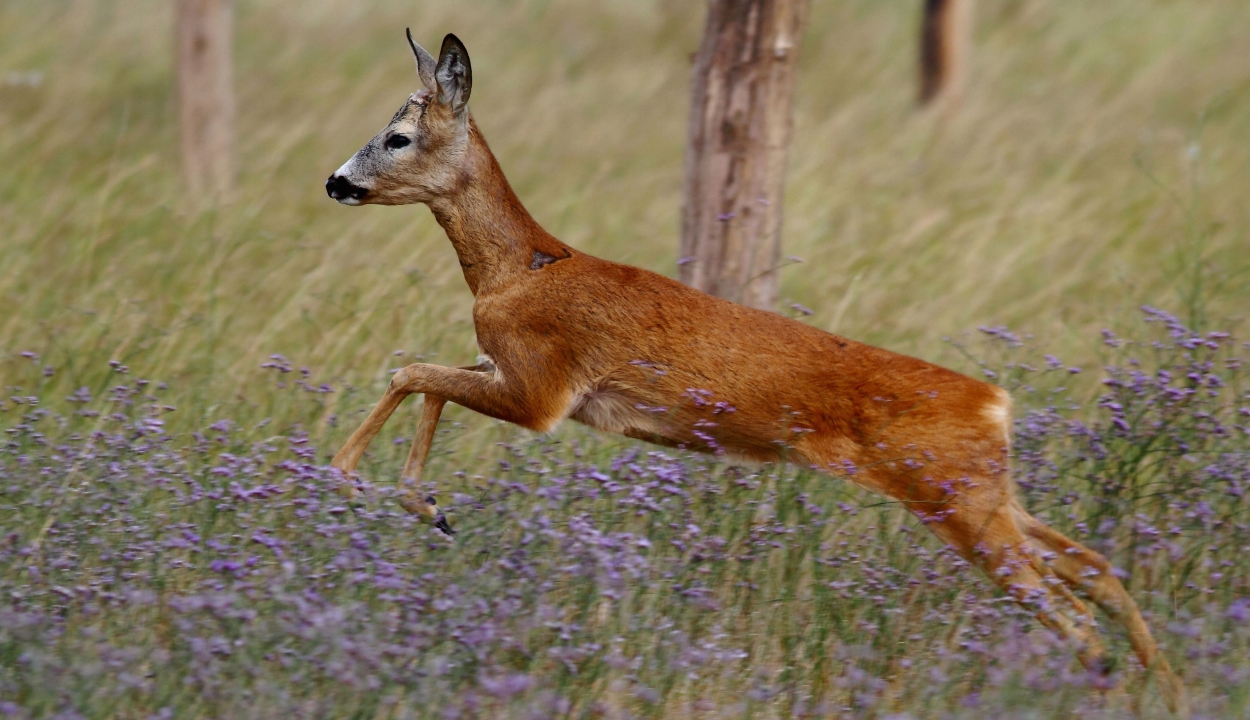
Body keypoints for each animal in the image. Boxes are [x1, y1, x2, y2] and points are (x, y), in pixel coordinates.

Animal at [322, 32, 1180, 710]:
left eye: (398, 135)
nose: (335, 182)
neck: (514, 270)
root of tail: (996, 401)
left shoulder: (543, 391)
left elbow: (409, 372)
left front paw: (357, 481)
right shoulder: (512, 373)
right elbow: (424, 382)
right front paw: (427, 506)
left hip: (956, 499)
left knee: (1072, 613)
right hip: (988, 494)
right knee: (1098, 570)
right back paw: (1168, 685)